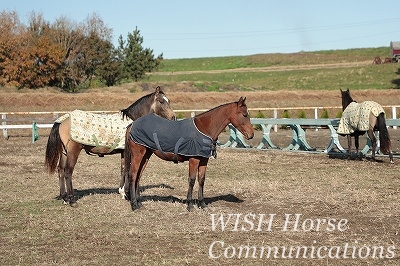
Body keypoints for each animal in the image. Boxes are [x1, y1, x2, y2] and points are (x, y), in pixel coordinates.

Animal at [45, 86, 175, 205]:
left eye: (168, 100)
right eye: (161, 101)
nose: (173, 117)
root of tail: (63, 119)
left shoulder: (123, 153)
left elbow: (123, 170)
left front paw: (122, 192)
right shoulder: (128, 152)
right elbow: (127, 170)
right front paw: (127, 194)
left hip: (64, 152)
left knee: (60, 170)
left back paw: (64, 197)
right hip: (73, 151)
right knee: (68, 171)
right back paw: (72, 200)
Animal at [125, 96, 253, 211]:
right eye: (244, 115)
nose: (251, 134)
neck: (204, 128)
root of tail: (132, 125)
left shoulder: (204, 160)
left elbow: (201, 180)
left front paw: (202, 204)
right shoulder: (194, 160)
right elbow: (192, 180)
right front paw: (190, 205)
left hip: (146, 155)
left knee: (138, 176)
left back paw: (139, 203)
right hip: (138, 154)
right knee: (133, 175)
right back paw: (134, 205)